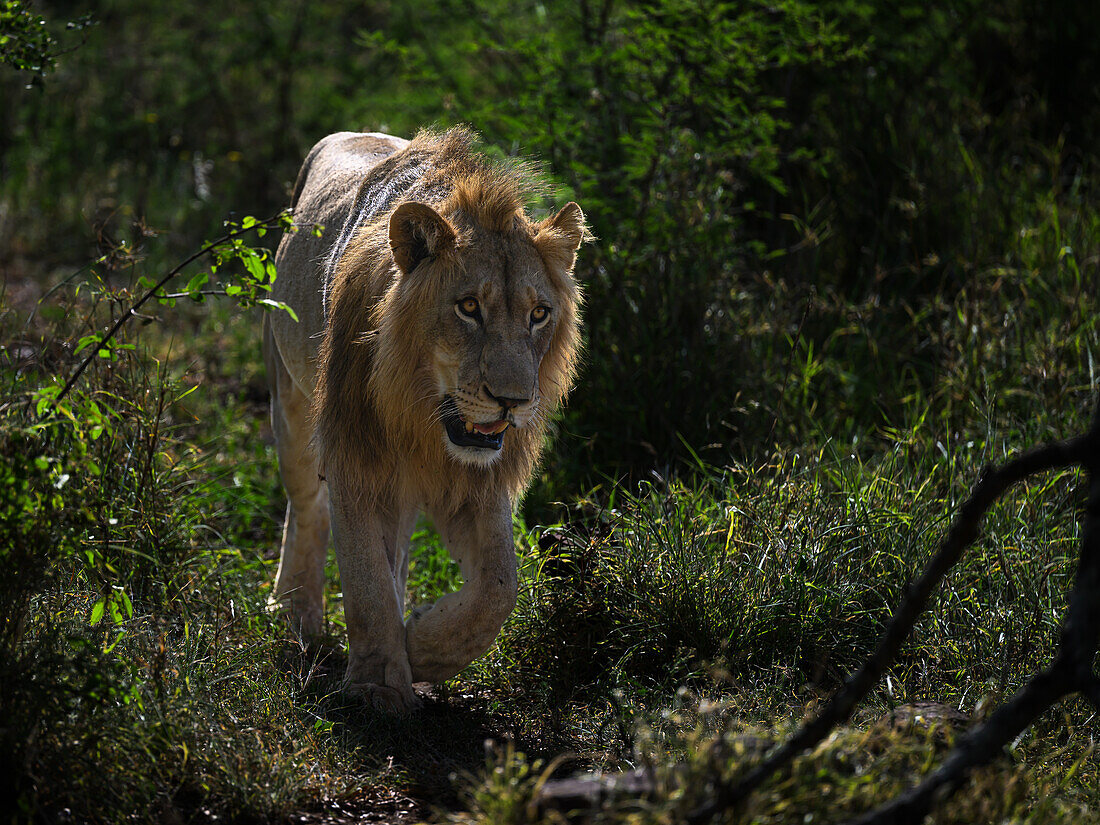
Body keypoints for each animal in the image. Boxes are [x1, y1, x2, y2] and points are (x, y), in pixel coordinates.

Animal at [260, 127, 585, 712]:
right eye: (468, 307)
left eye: (539, 314)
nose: (513, 400)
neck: (425, 421)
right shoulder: (355, 460)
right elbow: (365, 578)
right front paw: (376, 688)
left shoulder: (480, 481)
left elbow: (499, 587)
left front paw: (423, 648)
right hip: (288, 398)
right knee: (306, 507)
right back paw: (296, 611)